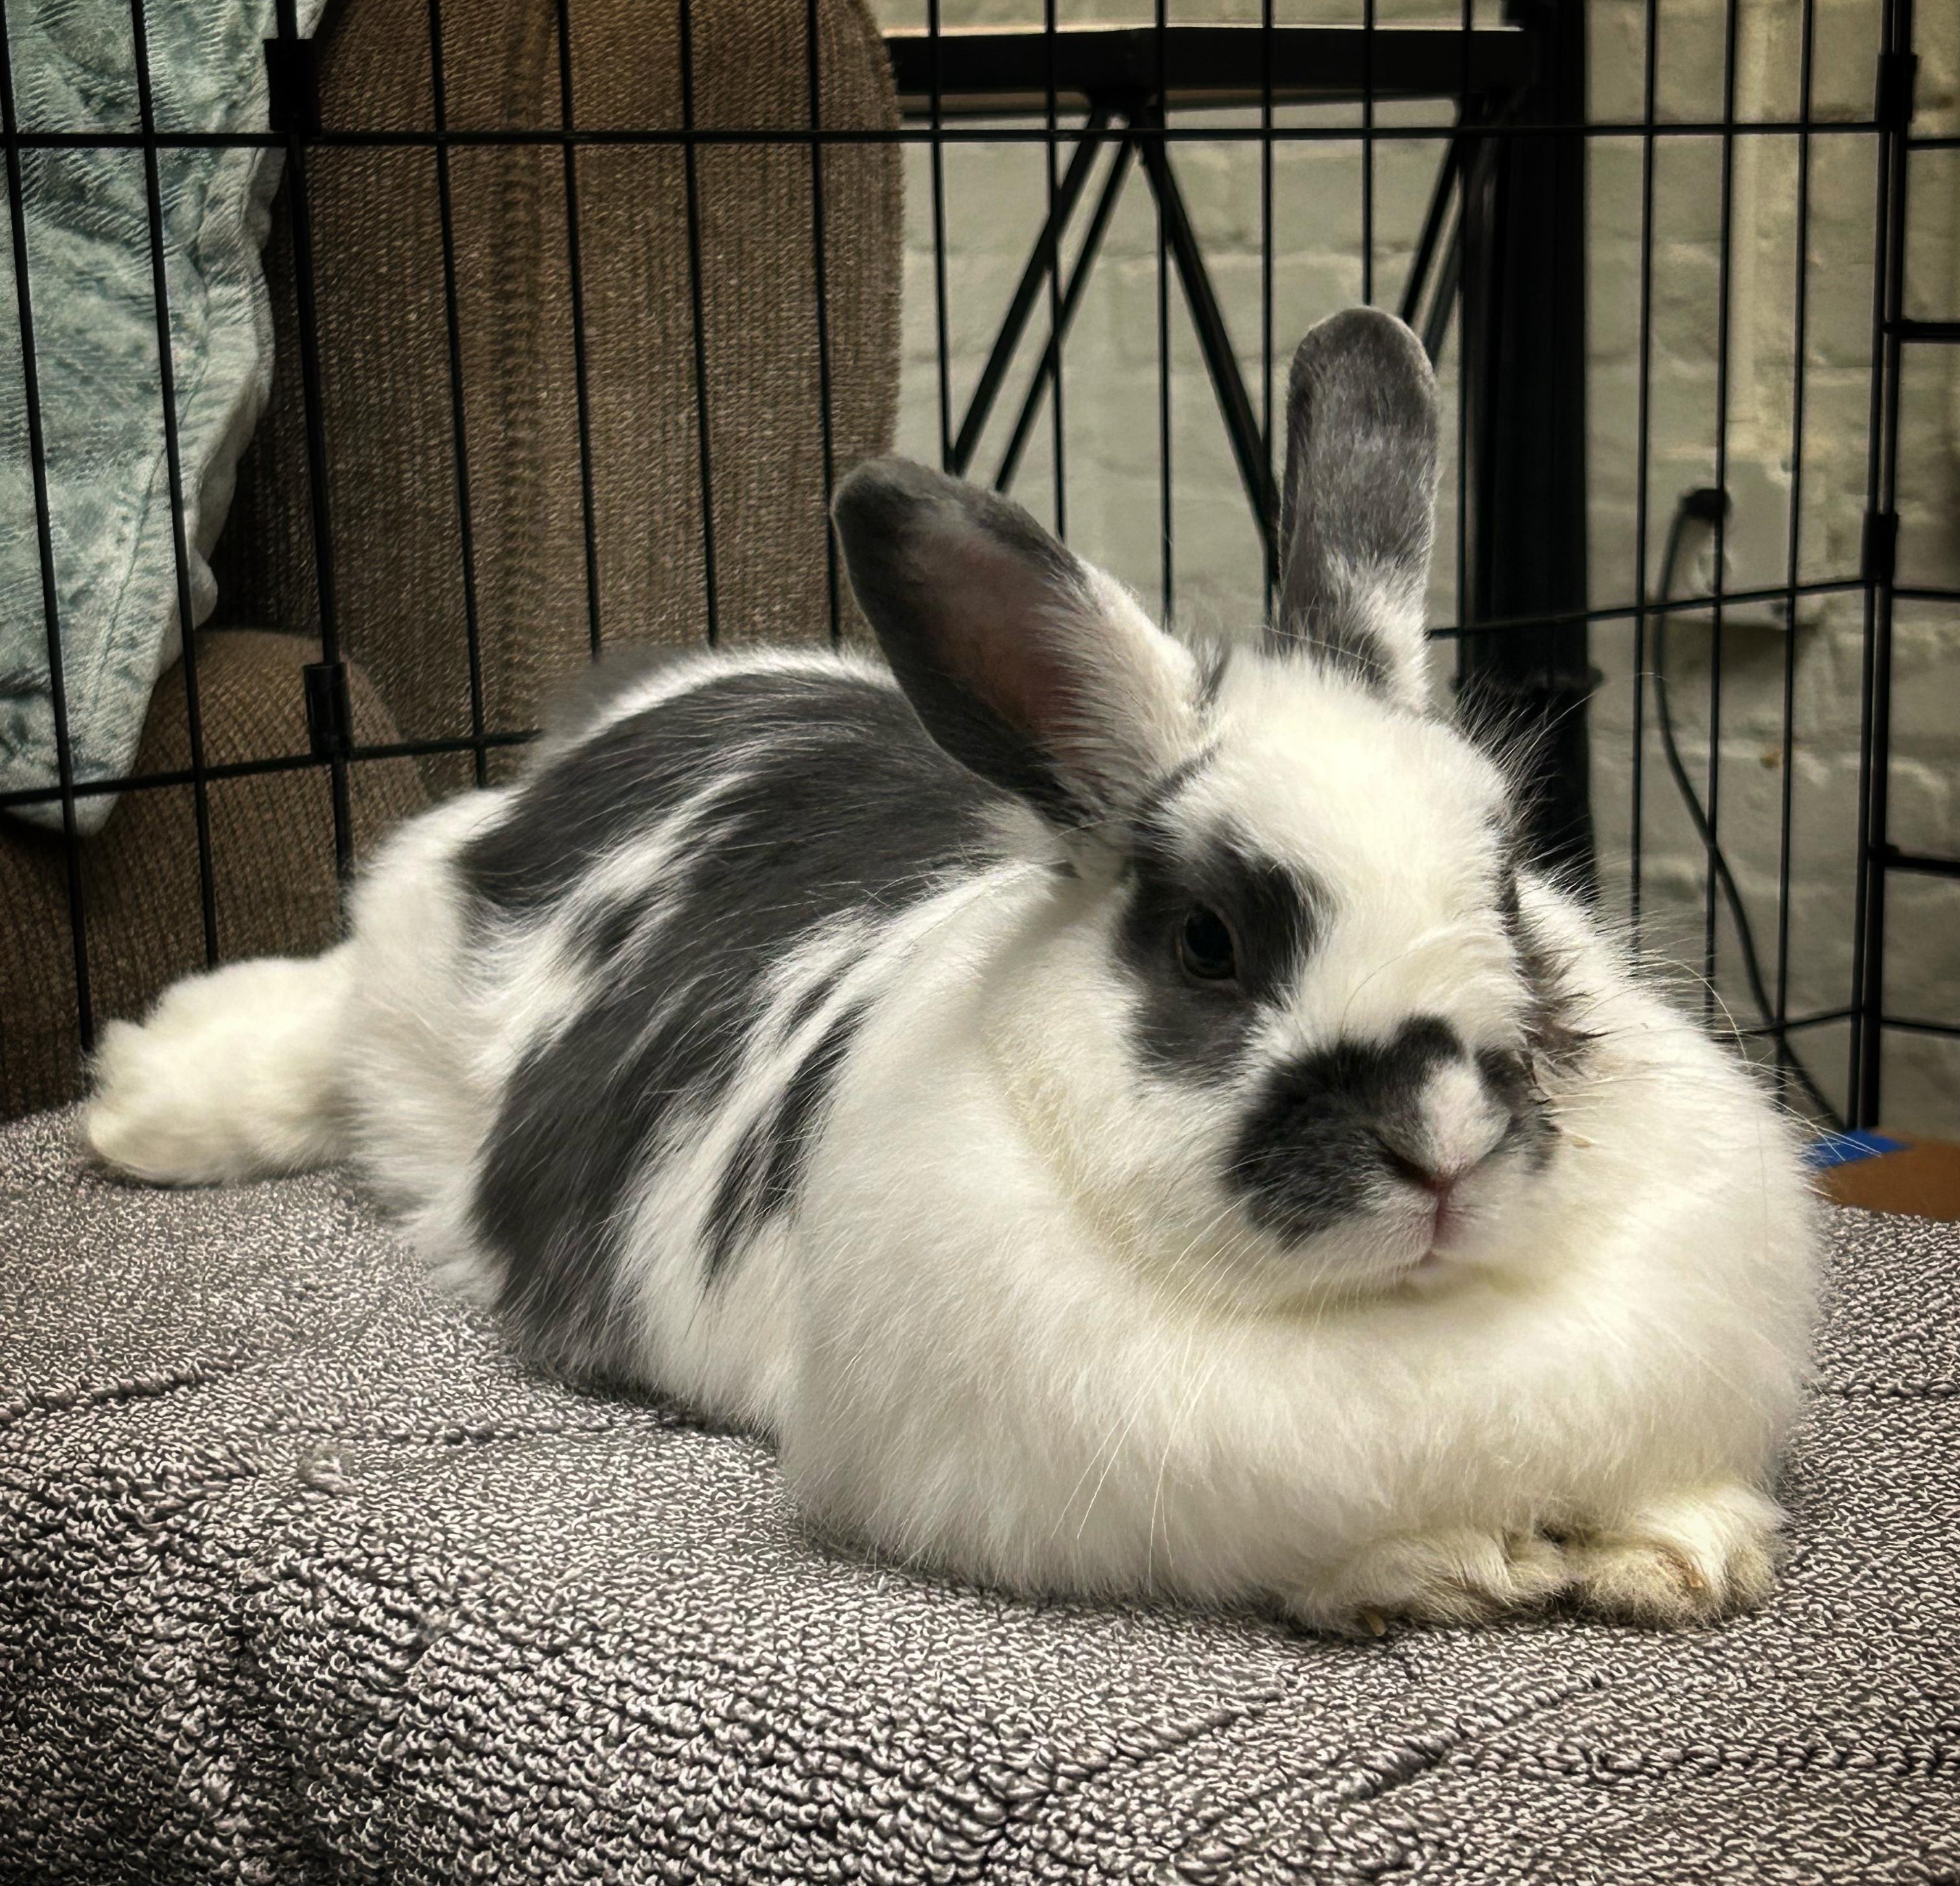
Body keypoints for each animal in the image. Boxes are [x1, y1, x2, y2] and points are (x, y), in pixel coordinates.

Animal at [83, 308, 1818, 1634]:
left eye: (1510, 880)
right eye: (1207, 940)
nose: (1442, 1141)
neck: (1410, 1319)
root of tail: (630, 725)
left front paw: (1685, 1557)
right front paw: (1453, 1562)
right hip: (409, 995)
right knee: (318, 1029)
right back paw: (137, 1106)